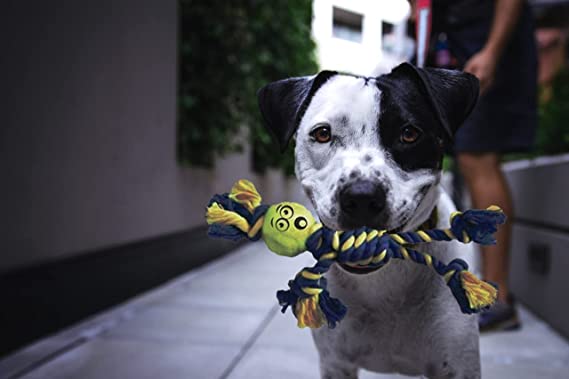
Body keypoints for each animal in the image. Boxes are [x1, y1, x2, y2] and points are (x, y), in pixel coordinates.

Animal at [260, 63, 482, 378]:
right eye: (323, 134)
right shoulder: (336, 363)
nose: (361, 197)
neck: (382, 281)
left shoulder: (457, 365)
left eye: (409, 134)